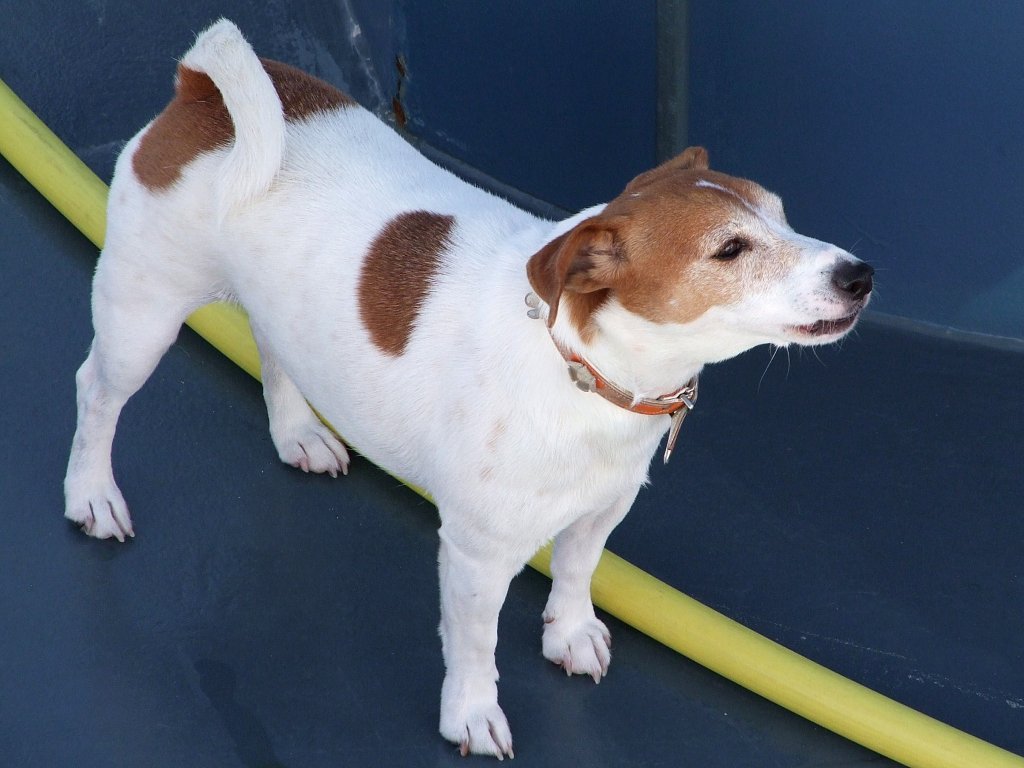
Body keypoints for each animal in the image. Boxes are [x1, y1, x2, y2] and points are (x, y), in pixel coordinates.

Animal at [66, 20, 872, 761]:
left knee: (273, 348)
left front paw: (569, 632)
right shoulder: (477, 556)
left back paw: (297, 431)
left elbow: (577, 571)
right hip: (141, 320)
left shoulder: (604, 507)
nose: (860, 275)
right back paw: (92, 494)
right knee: (96, 395)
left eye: (783, 213)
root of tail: (203, 92)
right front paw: (472, 716)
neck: (582, 373)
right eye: (729, 249)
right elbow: (475, 647)